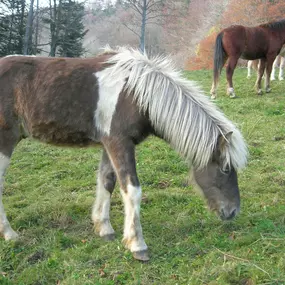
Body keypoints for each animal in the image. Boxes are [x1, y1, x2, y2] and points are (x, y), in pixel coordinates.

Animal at [0, 46, 246, 260]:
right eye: (225, 168)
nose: (233, 211)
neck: (136, 94)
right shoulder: (120, 143)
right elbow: (132, 190)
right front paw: (137, 244)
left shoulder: (109, 145)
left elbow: (107, 181)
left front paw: (104, 228)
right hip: (5, 143)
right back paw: (10, 234)